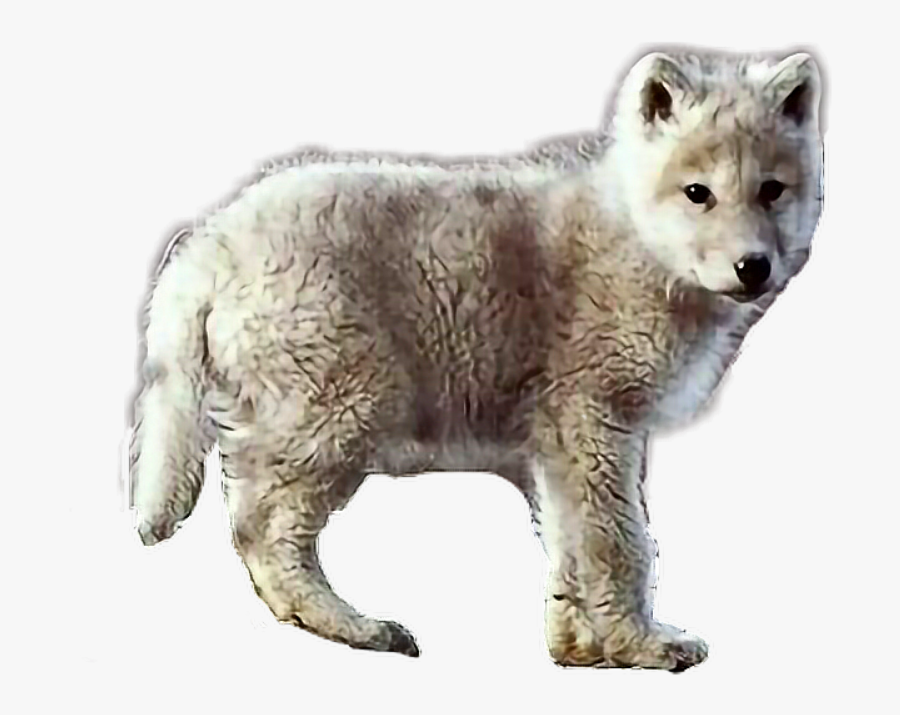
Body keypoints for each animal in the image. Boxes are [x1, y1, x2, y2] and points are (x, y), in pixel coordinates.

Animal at [129, 49, 824, 671]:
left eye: (771, 191)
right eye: (697, 193)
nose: (753, 267)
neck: (632, 242)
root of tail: (208, 245)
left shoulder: (557, 445)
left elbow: (570, 544)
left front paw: (579, 651)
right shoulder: (595, 422)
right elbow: (619, 542)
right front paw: (644, 647)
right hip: (344, 412)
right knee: (263, 531)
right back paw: (362, 629)